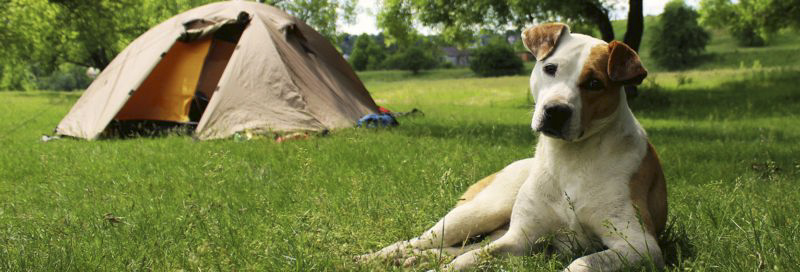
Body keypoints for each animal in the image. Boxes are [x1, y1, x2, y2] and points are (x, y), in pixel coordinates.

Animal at [360, 23, 664, 272]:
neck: (569, 158)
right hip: (481, 211)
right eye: (550, 68)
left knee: (455, 247)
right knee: (422, 240)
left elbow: (582, 263)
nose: (555, 111)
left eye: (594, 83)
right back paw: (378, 256)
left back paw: (415, 259)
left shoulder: (638, 245)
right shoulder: (520, 238)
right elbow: (470, 258)